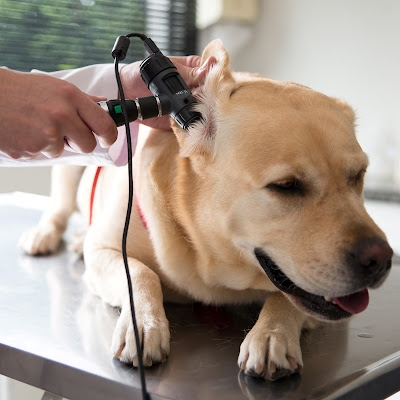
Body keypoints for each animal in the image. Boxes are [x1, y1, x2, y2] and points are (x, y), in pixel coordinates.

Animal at [18, 40, 390, 382]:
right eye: (286, 186)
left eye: (358, 175)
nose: (381, 259)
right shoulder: (105, 249)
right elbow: (140, 274)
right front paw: (144, 324)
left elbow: (287, 297)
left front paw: (272, 335)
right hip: (71, 164)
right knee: (59, 209)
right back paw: (48, 235)